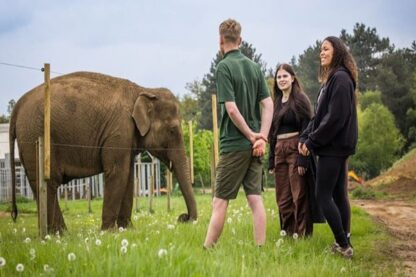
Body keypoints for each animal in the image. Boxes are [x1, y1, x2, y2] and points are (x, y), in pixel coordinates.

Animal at [9, 70, 197, 231]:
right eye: (172, 130)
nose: (183, 218)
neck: (144, 89)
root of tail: (18, 105)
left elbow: (128, 176)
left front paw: (127, 230)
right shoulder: (119, 130)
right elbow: (117, 172)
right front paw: (109, 232)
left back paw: (58, 234)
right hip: (35, 135)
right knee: (48, 184)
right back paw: (57, 234)